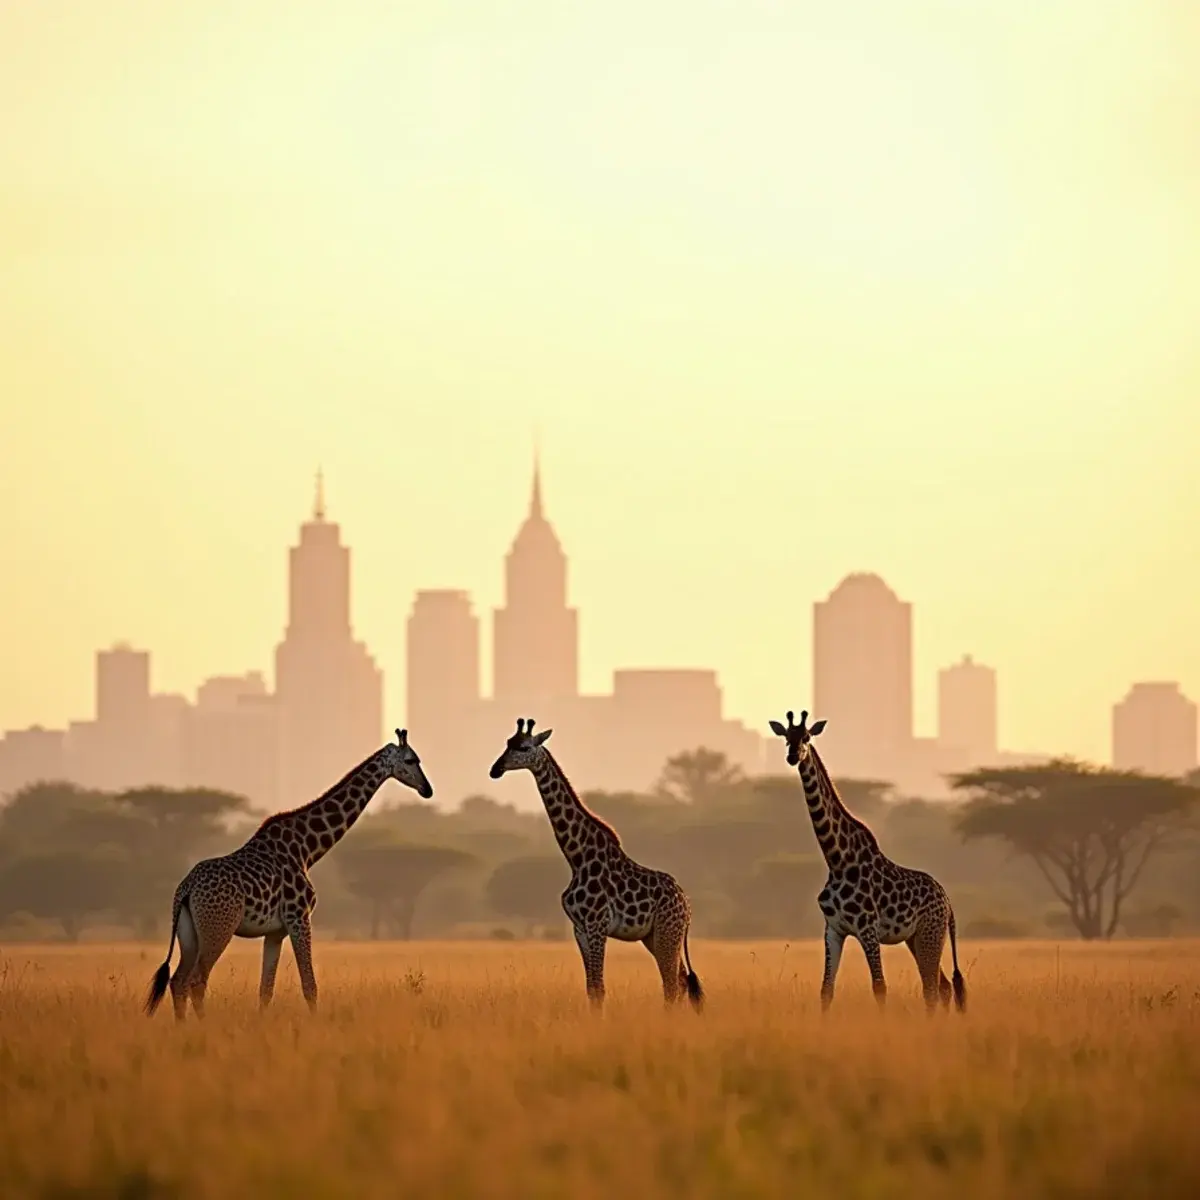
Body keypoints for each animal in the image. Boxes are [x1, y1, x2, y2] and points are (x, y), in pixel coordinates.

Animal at [144, 729, 432, 1020]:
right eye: (411, 760)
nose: (427, 789)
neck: (306, 849)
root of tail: (187, 888)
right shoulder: (299, 918)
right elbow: (310, 985)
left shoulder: (275, 931)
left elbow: (265, 989)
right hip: (218, 928)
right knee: (197, 980)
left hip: (189, 932)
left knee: (178, 981)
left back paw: (183, 1026)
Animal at [489, 718, 703, 1011]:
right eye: (507, 743)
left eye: (523, 747)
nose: (495, 770)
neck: (578, 858)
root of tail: (687, 905)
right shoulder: (579, 927)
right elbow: (591, 988)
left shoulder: (597, 923)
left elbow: (600, 988)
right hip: (654, 936)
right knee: (680, 980)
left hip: (667, 932)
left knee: (672, 983)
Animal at [768, 710, 966, 1014]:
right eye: (786, 738)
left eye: (807, 737)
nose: (793, 756)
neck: (837, 860)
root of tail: (947, 901)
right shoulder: (833, 929)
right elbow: (826, 989)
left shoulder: (867, 928)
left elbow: (880, 987)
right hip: (915, 937)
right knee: (941, 986)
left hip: (930, 933)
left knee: (932, 987)